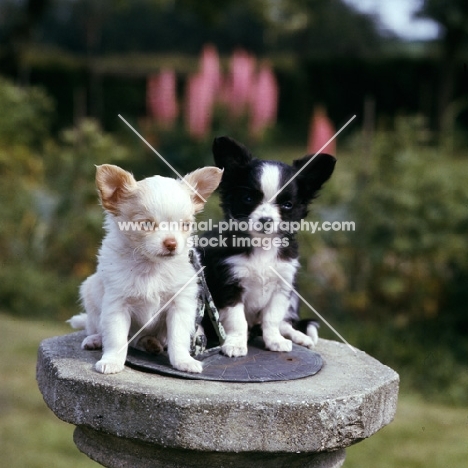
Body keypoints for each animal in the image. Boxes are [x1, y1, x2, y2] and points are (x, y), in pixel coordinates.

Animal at [68, 163, 224, 374]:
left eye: (185, 225)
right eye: (147, 224)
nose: (171, 243)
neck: (151, 267)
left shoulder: (181, 305)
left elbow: (179, 337)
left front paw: (183, 361)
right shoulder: (117, 305)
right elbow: (116, 338)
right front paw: (112, 361)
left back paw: (151, 343)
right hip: (90, 294)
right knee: (98, 328)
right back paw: (96, 339)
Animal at [197, 137, 336, 356]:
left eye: (287, 205)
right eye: (248, 199)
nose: (266, 220)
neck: (263, 246)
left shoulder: (282, 285)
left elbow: (272, 318)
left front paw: (274, 341)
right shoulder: (229, 285)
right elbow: (237, 320)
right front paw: (236, 343)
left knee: (284, 323)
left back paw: (298, 336)